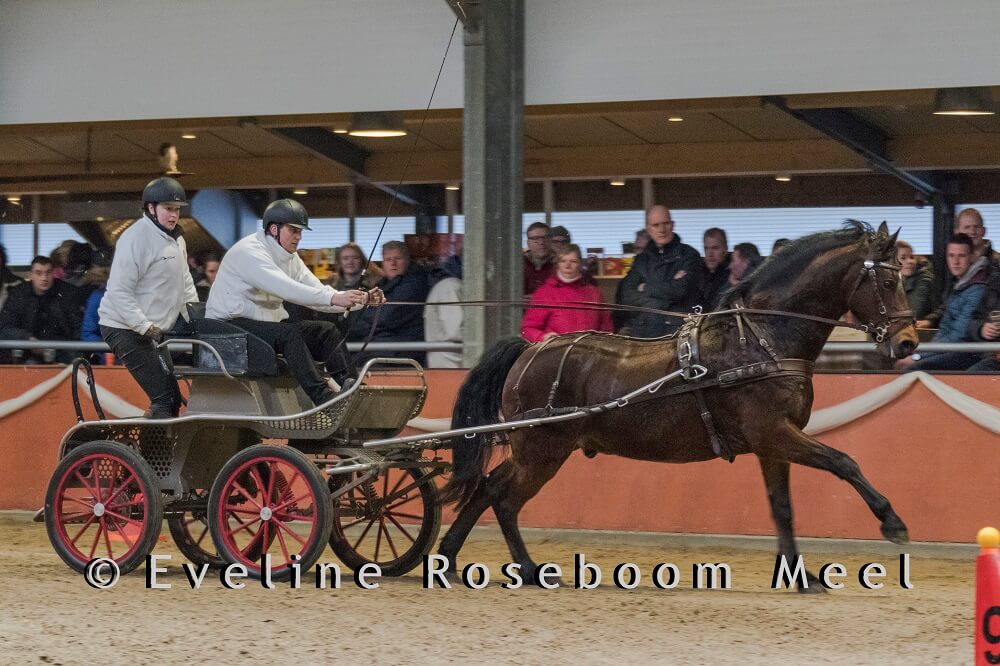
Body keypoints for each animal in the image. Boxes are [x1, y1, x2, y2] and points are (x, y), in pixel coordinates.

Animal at [438, 220, 920, 588]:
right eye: (889, 281)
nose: (908, 342)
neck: (762, 339)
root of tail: (529, 349)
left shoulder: (772, 444)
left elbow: (782, 508)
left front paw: (801, 578)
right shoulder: (774, 432)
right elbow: (844, 462)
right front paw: (893, 523)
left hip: (536, 450)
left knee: (487, 486)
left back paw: (447, 557)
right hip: (542, 451)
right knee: (504, 499)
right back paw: (528, 569)